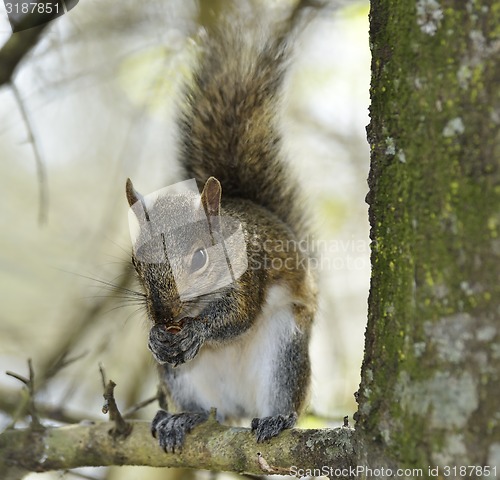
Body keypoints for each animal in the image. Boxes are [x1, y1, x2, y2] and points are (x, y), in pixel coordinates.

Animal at [127, 11, 318, 454]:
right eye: (136, 266)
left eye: (200, 257)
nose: (165, 318)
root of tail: (237, 407)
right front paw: (154, 337)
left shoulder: (253, 271)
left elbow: (241, 315)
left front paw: (200, 330)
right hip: (181, 378)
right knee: (204, 410)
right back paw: (181, 419)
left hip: (283, 349)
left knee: (283, 395)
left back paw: (278, 418)